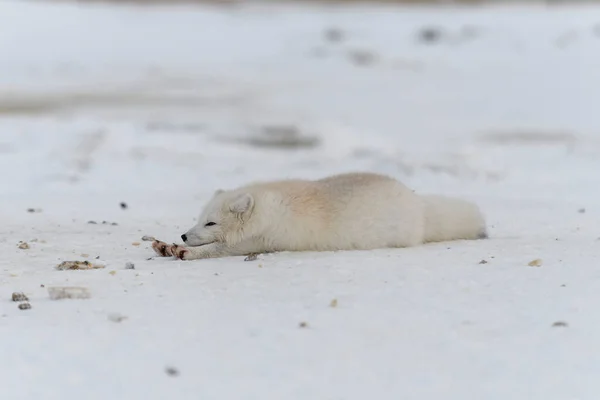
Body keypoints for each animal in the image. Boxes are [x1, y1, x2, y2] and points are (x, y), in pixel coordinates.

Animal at [151, 171, 488, 260]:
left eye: (211, 222)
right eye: (199, 218)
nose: (184, 234)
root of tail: (418, 204)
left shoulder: (262, 240)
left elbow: (217, 249)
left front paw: (183, 251)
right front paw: (166, 245)